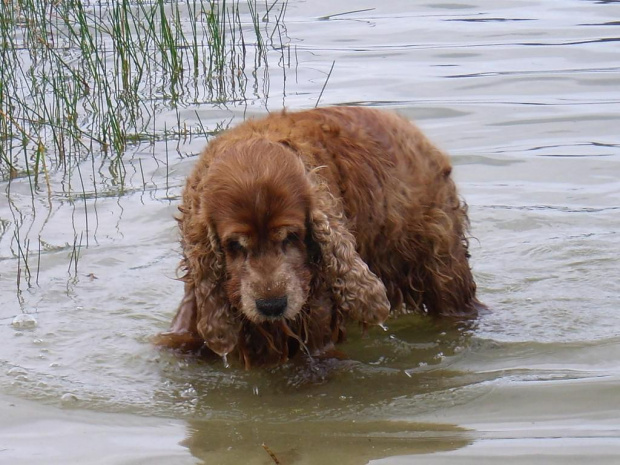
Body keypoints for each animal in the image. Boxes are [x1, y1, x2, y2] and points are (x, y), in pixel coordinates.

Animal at [156, 107, 484, 368]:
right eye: (234, 245)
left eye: (291, 237)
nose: (272, 306)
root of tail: (407, 127)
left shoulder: (315, 317)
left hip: (443, 266)